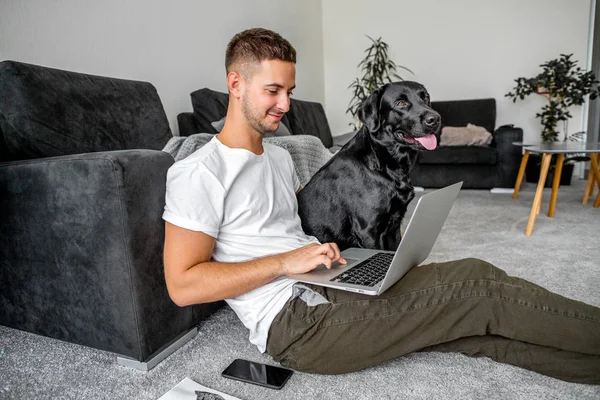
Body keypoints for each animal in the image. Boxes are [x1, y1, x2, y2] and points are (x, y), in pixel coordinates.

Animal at [298, 80, 438, 250]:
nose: (435, 119)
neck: (383, 162)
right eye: (401, 103)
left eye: (426, 98)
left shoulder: (394, 226)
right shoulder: (369, 231)